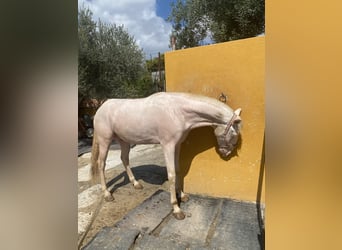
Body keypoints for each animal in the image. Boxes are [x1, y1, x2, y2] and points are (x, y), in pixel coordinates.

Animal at [89, 91, 242, 219]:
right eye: (234, 133)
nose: (226, 153)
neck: (177, 112)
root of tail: (101, 108)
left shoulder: (177, 145)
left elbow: (178, 170)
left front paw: (182, 195)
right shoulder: (168, 146)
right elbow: (172, 174)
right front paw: (176, 209)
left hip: (124, 141)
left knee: (124, 159)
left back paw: (136, 183)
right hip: (105, 140)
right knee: (101, 164)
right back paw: (107, 194)